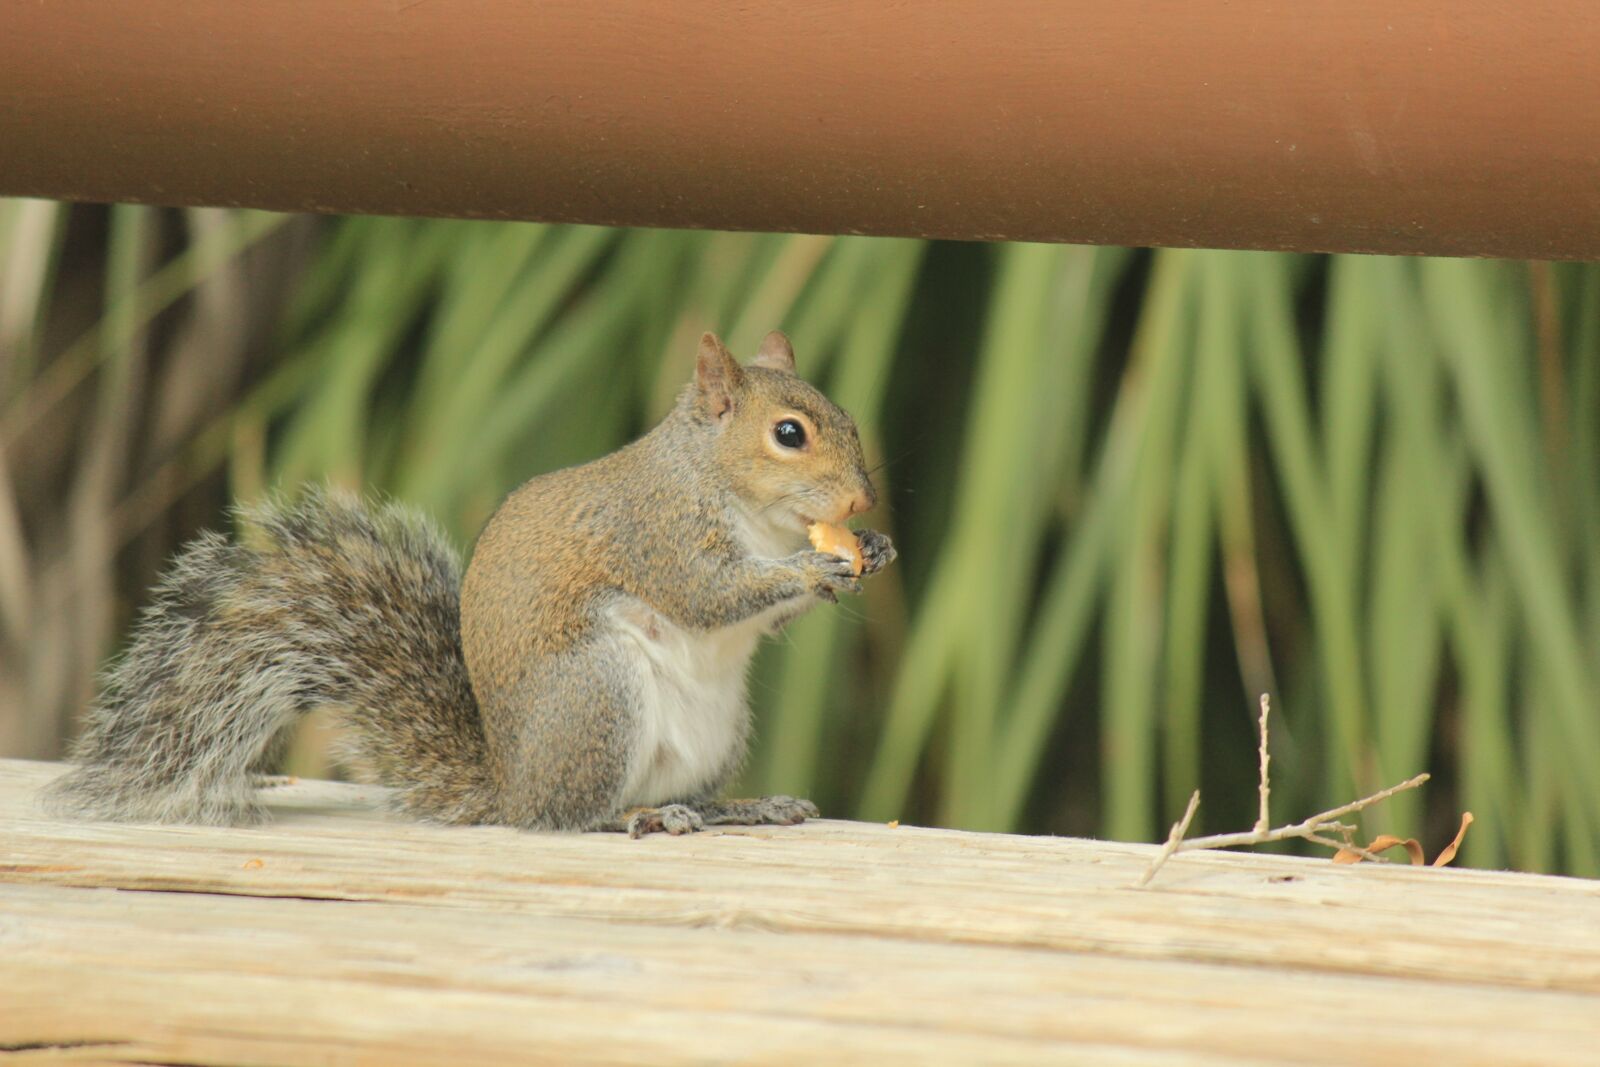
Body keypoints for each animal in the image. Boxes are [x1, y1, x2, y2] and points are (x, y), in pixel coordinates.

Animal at [46, 329, 902, 838]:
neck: (746, 506)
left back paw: (738, 806)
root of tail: (511, 787)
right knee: (572, 815)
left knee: (683, 793)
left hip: (720, 726)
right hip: (597, 695)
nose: (864, 501)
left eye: (850, 417)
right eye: (788, 434)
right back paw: (640, 816)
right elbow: (710, 595)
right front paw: (813, 565)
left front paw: (873, 550)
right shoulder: (656, 535)